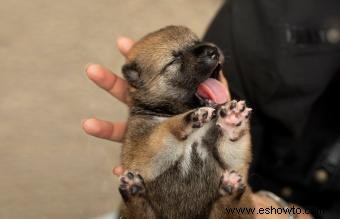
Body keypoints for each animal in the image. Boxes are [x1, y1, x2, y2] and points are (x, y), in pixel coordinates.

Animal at [118, 26, 254, 219]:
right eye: (175, 59)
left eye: (197, 42)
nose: (213, 50)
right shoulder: (144, 154)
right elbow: (164, 129)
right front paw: (192, 117)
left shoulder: (233, 161)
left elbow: (233, 145)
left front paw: (233, 121)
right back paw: (133, 190)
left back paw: (230, 189)